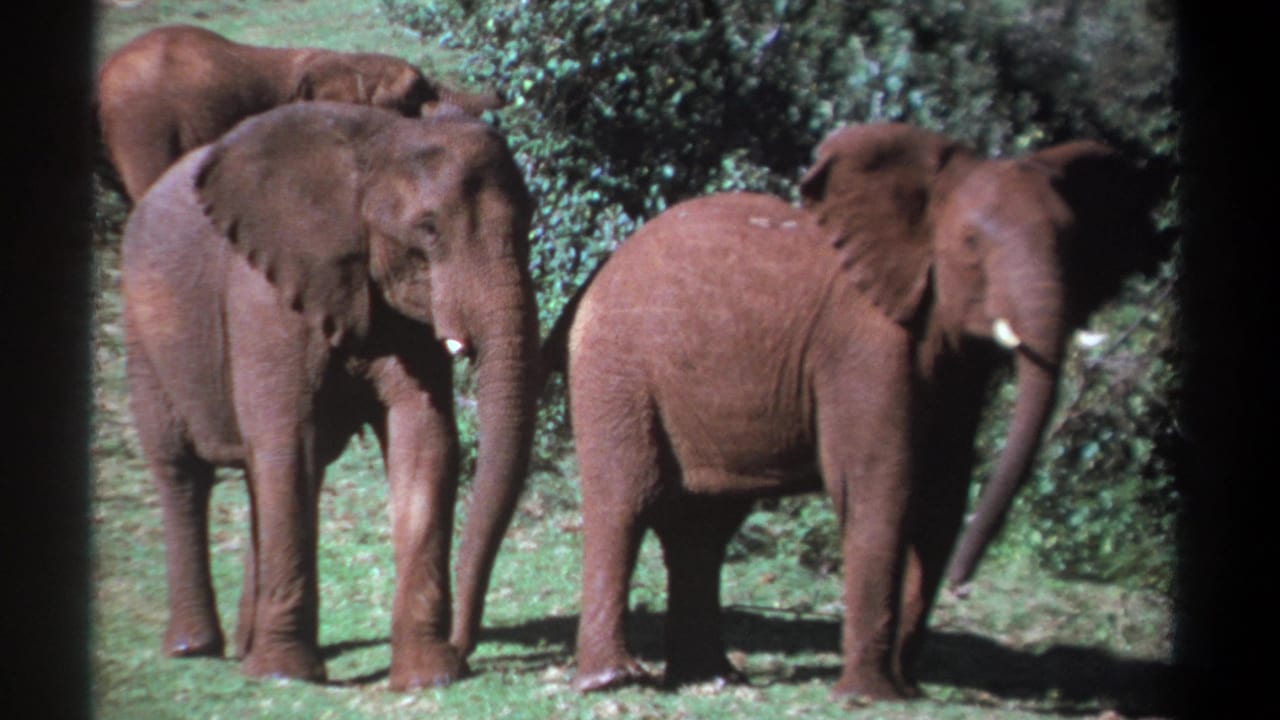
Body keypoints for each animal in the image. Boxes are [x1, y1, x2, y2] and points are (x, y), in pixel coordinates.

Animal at [120, 101, 537, 690]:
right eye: (428, 229)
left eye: (529, 219)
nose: (465, 650)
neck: (381, 144)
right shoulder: (264, 294)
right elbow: (287, 442)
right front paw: (285, 676)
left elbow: (424, 439)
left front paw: (427, 677)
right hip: (142, 330)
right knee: (184, 469)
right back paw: (195, 649)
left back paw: (246, 647)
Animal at [554, 122, 1168, 700]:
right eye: (971, 243)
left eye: (1074, 245)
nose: (964, 586)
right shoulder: (864, 346)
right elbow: (881, 483)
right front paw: (869, 696)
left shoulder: (952, 365)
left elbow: (942, 495)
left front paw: (904, 688)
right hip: (615, 369)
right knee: (626, 501)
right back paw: (611, 681)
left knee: (705, 527)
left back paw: (712, 678)